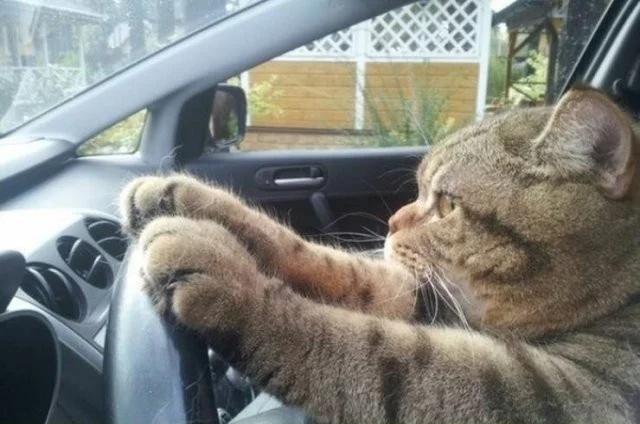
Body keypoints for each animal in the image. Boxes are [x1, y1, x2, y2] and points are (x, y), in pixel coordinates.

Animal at [120, 86, 640, 423]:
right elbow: (322, 261)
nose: (391, 222)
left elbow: (358, 346)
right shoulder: (420, 298)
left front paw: (229, 280)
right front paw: (181, 196)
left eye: (447, 206)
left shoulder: (541, 392)